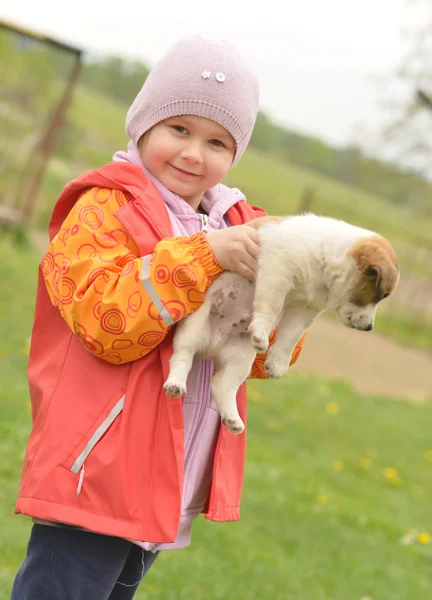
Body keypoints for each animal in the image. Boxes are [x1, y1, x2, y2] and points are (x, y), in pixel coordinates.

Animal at [164, 213, 400, 434]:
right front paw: (261, 332)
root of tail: (211, 346)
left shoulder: (304, 308)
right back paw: (176, 384)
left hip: (241, 359)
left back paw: (232, 419)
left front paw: (277, 362)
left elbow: (291, 336)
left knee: (223, 384)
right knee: (182, 356)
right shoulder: (277, 273)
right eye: (379, 296)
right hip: (194, 328)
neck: (326, 260)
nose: (369, 328)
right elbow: (272, 305)